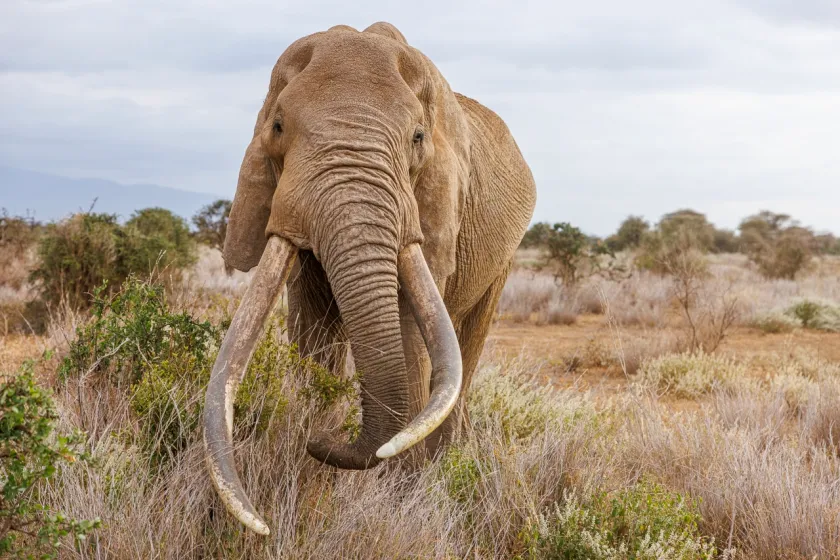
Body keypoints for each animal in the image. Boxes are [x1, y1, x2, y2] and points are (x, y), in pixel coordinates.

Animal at [203, 21, 536, 535]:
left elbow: (408, 335)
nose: (321, 443)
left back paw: (445, 463)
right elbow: (313, 334)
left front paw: (403, 500)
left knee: (470, 340)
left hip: (502, 258)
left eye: (418, 137)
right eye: (277, 127)